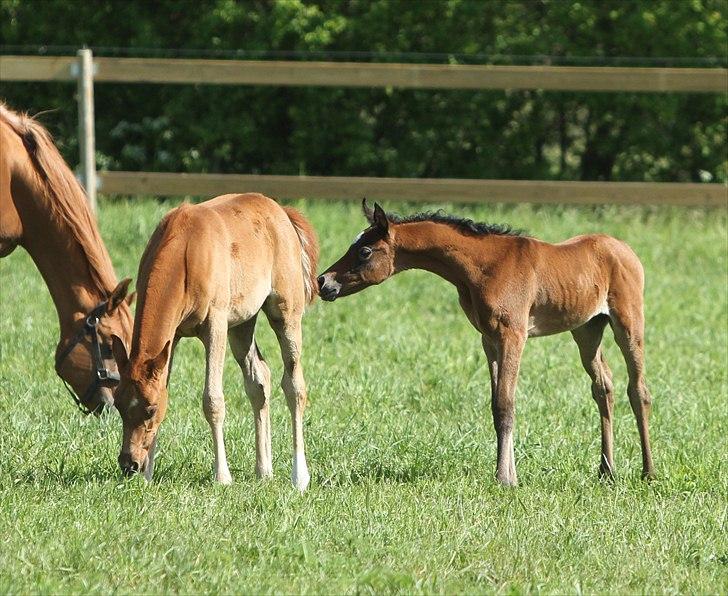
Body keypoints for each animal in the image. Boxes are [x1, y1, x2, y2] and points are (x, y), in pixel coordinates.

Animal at [111, 193, 318, 492]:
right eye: (117, 405)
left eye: (149, 410)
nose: (129, 463)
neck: (186, 250)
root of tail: (280, 210)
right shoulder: (173, 338)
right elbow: (165, 389)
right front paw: (148, 476)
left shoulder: (215, 325)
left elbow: (213, 400)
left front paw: (222, 476)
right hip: (242, 324)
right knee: (259, 380)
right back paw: (264, 470)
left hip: (285, 313)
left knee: (294, 386)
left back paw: (299, 476)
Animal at [318, 200, 656, 484]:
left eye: (365, 251)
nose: (323, 281)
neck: (485, 267)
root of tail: (623, 247)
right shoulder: (489, 339)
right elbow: (496, 406)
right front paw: (508, 472)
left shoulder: (513, 336)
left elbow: (506, 404)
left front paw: (505, 479)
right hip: (586, 329)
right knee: (603, 387)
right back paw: (606, 471)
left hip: (628, 323)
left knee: (638, 389)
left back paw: (648, 472)